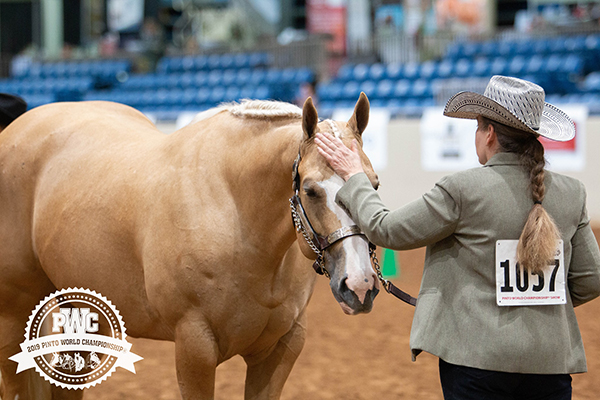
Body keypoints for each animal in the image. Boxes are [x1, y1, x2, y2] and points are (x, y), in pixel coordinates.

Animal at [0, 93, 380, 396]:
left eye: (374, 184)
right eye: (312, 190)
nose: (359, 285)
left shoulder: (281, 348)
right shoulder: (194, 347)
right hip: (13, 315)